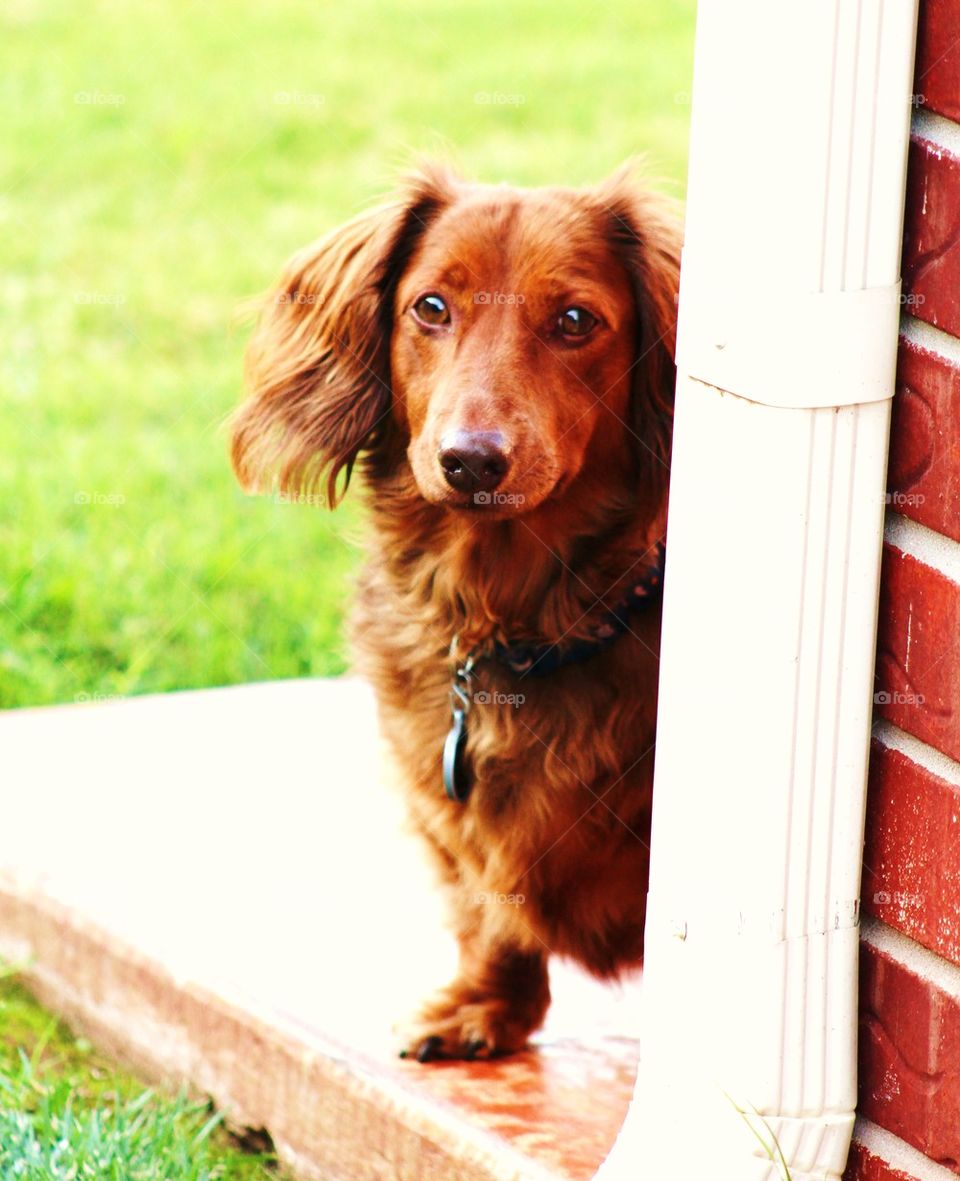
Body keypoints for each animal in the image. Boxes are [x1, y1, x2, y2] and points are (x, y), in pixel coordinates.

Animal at [232, 164, 680, 1062]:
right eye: (431, 306)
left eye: (575, 320)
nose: (471, 461)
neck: (513, 625)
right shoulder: (438, 803)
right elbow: (485, 905)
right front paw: (483, 1006)